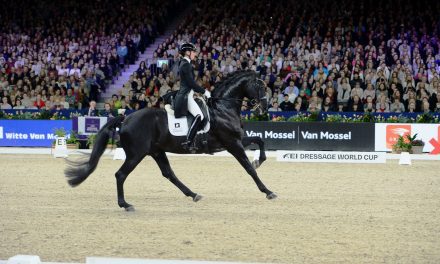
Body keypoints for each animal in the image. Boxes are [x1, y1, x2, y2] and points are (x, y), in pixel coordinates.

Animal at [63, 69, 276, 210]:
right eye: (260, 85)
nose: (264, 108)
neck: (223, 108)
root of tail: (126, 118)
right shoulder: (232, 143)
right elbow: (249, 169)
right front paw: (268, 191)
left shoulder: (236, 140)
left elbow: (260, 141)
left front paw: (260, 160)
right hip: (136, 154)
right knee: (121, 175)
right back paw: (125, 204)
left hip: (156, 151)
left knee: (169, 174)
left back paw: (193, 194)